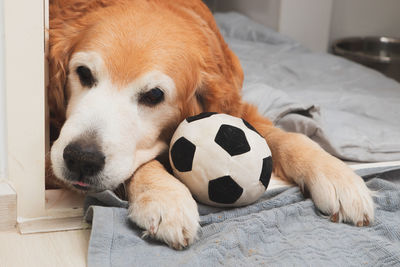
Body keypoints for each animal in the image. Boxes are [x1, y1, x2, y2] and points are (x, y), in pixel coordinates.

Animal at [48, 0, 374, 251]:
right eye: (83, 73)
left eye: (154, 95)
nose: (81, 159)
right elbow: (142, 165)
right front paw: (166, 197)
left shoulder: (237, 109)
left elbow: (289, 138)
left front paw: (337, 176)